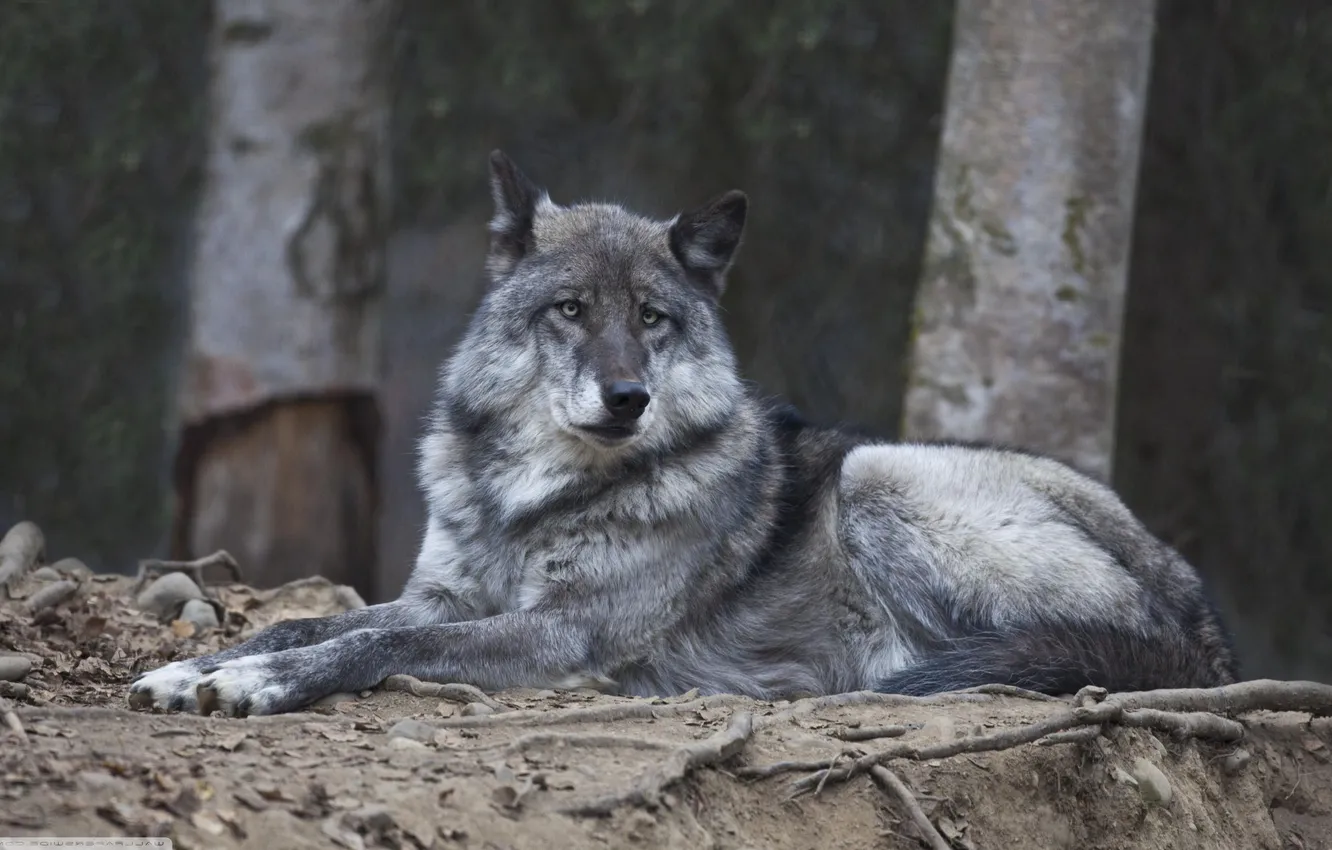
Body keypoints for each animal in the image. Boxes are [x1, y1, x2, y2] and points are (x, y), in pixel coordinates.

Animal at [129, 150, 1239, 717]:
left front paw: (257, 682)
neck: (531, 499)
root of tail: (1209, 627)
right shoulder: (442, 592)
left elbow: (381, 643)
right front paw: (203, 666)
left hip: (881, 472)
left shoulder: (562, 631)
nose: (627, 396)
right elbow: (318, 621)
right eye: (571, 310)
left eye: (653, 317)